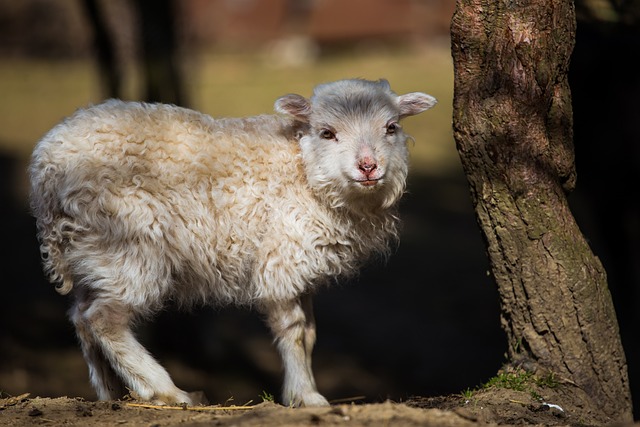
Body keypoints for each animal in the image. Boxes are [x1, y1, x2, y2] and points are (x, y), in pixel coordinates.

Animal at [32, 78, 438, 410]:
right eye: (327, 133)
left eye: (391, 128)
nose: (368, 167)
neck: (302, 168)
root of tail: (45, 167)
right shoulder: (282, 259)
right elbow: (294, 331)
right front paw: (306, 396)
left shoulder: (302, 264)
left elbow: (309, 333)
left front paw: (303, 390)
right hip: (128, 243)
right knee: (104, 319)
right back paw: (166, 391)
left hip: (90, 252)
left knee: (81, 317)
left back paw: (110, 393)